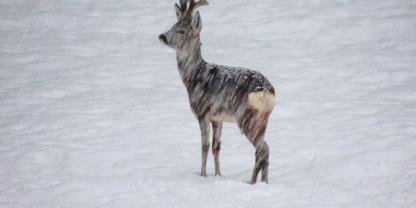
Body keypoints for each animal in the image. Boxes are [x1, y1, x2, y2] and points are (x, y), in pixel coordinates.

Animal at [158, 0, 274, 184]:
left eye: (182, 30)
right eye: (173, 25)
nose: (162, 36)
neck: (194, 77)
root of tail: (267, 91)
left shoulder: (203, 112)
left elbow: (204, 146)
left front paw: (203, 175)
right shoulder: (218, 118)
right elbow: (216, 147)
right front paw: (218, 175)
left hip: (245, 117)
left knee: (263, 148)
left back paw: (251, 182)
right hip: (263, 119)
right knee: (263, 149)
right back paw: (263, 182)